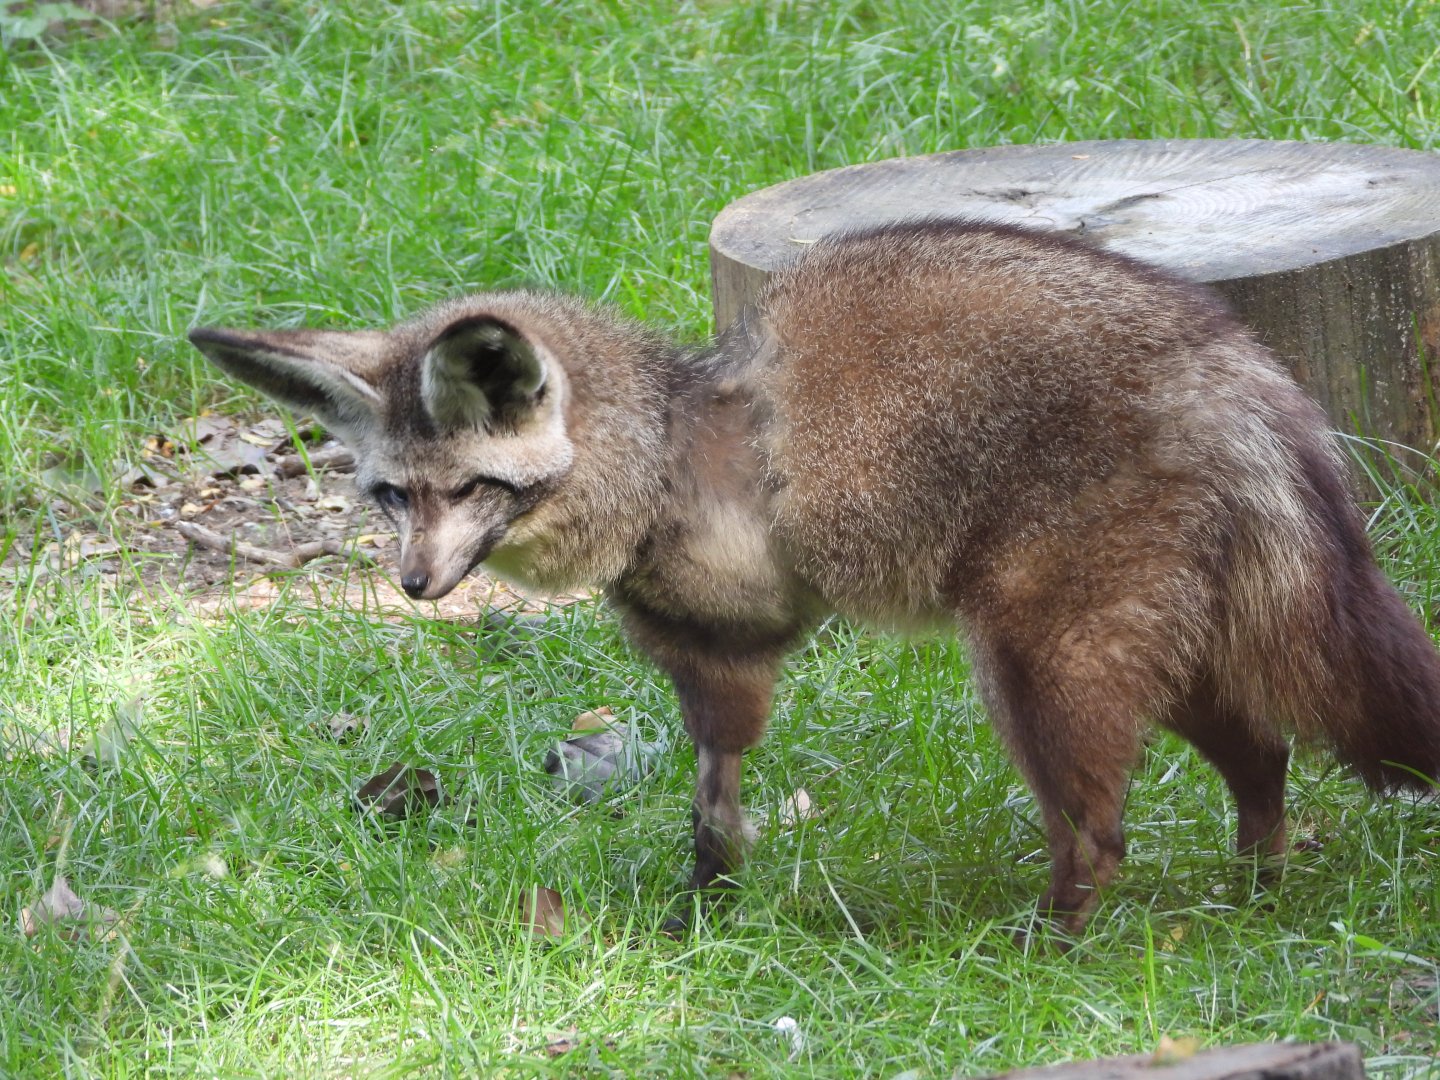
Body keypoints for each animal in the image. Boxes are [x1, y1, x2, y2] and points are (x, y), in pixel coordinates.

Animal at [189, 219, 1440, 938]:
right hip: (1163, 653)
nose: (414, 588)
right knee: (1264, 762)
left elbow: (716, 790)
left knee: (1103, 833)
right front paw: (705, 920)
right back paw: (1255, 900)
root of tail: (1234, 359)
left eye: (469, 489)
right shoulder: (715, 660)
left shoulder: (738, 631)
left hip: (1037, 665)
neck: (664, 447)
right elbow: (712, 809)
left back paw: (1053, 943)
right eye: (394, 499)